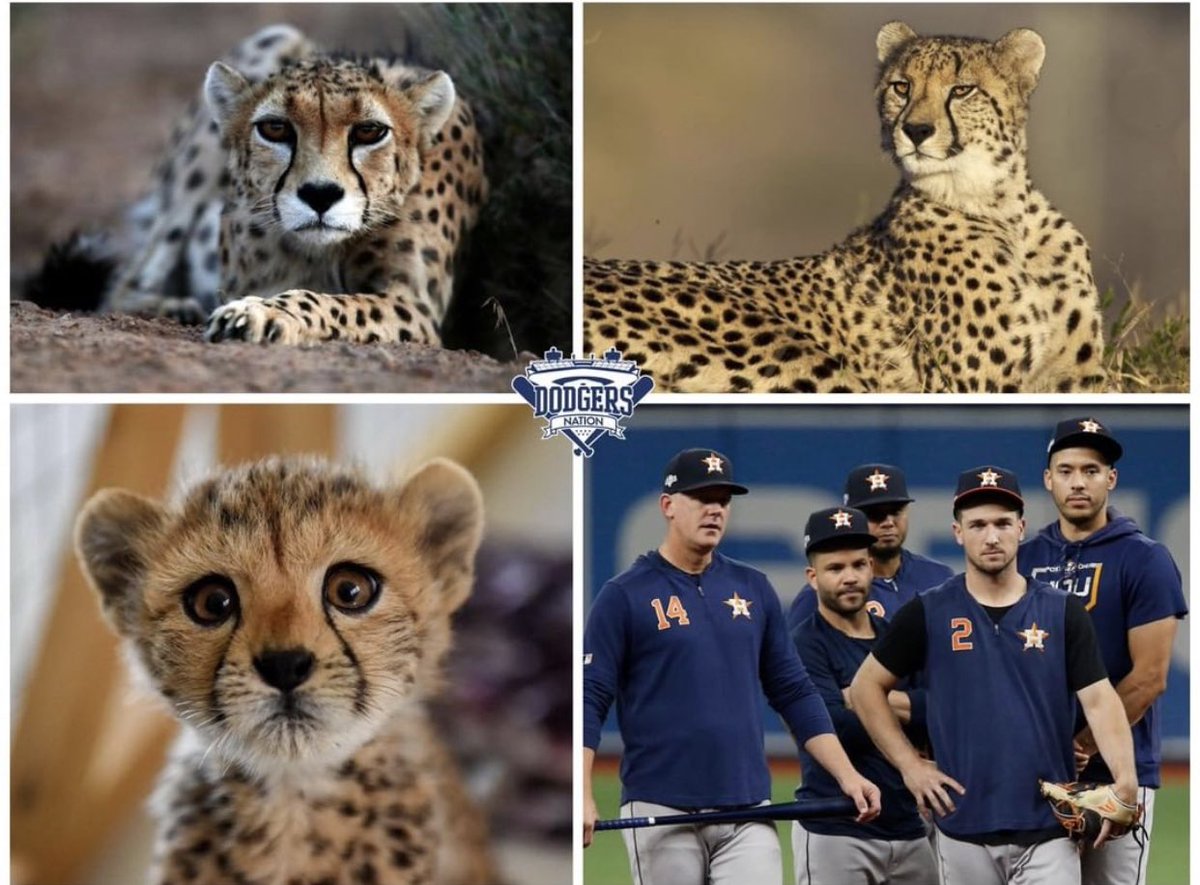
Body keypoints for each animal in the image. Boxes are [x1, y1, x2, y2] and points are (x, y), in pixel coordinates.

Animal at [75, 24, 487, 346]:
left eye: (370, 131)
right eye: (275, 128)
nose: (320, 194)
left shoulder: (414, 304)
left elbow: (336, 302)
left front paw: (262, 314)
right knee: (123, 284)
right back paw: (171, 307)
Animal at [584, 22, 1106, 393]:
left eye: (962, 90)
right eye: (901, 87)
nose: (916, 131)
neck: (1000, 208)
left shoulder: (1080, 379)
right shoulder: (970, 385)